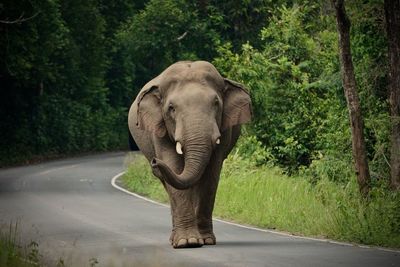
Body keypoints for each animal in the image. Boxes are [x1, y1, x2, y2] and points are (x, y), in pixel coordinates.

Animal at [127, 60, 250, 249]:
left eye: (216, 103)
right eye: (171, 108)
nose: (155, 162)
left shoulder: (225, 131)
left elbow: (211, 174)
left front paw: (206, 240)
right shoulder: (159, 128)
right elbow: (173, 165)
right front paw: (188, 242)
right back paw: (174, 238)